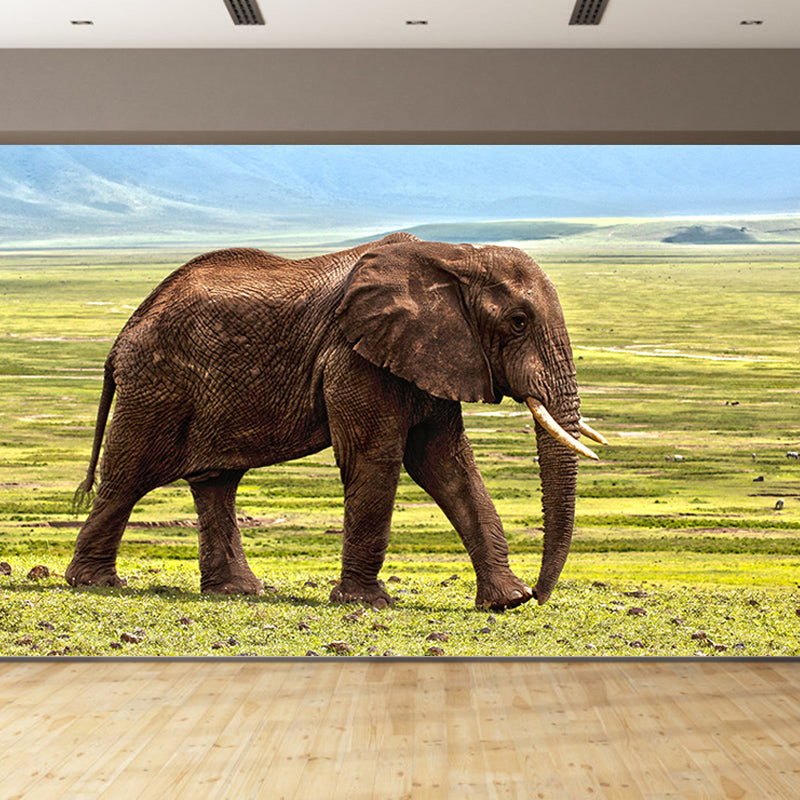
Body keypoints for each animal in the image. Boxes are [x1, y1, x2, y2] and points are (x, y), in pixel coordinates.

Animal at [65, 233, 605, 610]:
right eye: (518, 322)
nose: (540, 595)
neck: (452, 255)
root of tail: (123, 334)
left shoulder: (431, 356)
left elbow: (446, 465)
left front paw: (506, 603)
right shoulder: (354, 357)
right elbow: (377, 458)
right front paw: (368, 604)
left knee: (216, 481)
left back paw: (237, 592)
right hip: (156, 383)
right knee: (129, 475)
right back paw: (94, 583)